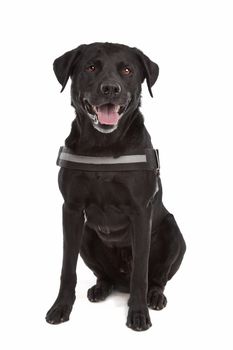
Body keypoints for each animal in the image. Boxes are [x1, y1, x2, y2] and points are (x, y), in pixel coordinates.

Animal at [46, 43, 186, 330]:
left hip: (173, 231)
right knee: (104, 275)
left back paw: (155, 296)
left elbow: (141, 272)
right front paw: (61, 307)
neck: (103, 146)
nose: (110, 88)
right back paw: (100, 288)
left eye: (127, 70)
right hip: (87, 234)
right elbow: (67, 267)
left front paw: (139, 313)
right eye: (91, 67)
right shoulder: (71, 210)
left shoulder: (141, 211)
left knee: (158, 277)